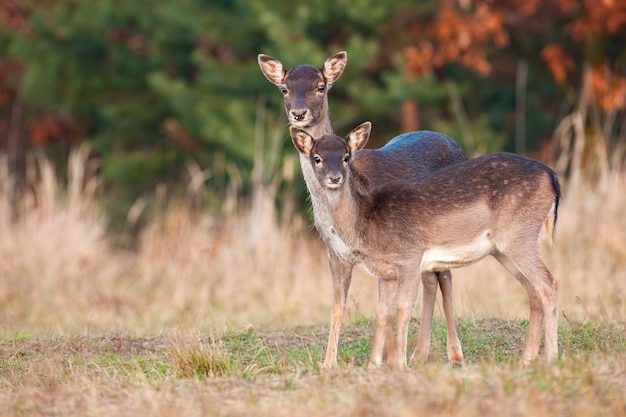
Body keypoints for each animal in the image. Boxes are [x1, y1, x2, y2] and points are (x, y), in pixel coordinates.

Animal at [256, 50, 466, 366]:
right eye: (284, 88)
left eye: (320, 86)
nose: (298, 113)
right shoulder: (334, 251)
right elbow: (337, 306)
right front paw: (329, 363)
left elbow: (385, 307)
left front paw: (384, 360)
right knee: (431, 279)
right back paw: (420, 353)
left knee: (447, 279)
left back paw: (454, 353)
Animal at [290, 121, 560, 368]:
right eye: (317, 158)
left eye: (346, 156)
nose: (334, 177)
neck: (366, 224)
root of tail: (553, 177)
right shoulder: (387, 272)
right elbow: (382, 312)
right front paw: (374, 365)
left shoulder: (410, 256)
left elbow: (403, 308)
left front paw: (399, 364)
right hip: (503, 247)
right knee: (532, 288)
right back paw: (526, 359)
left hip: (520, 234)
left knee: (549, 284)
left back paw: (551, 359)